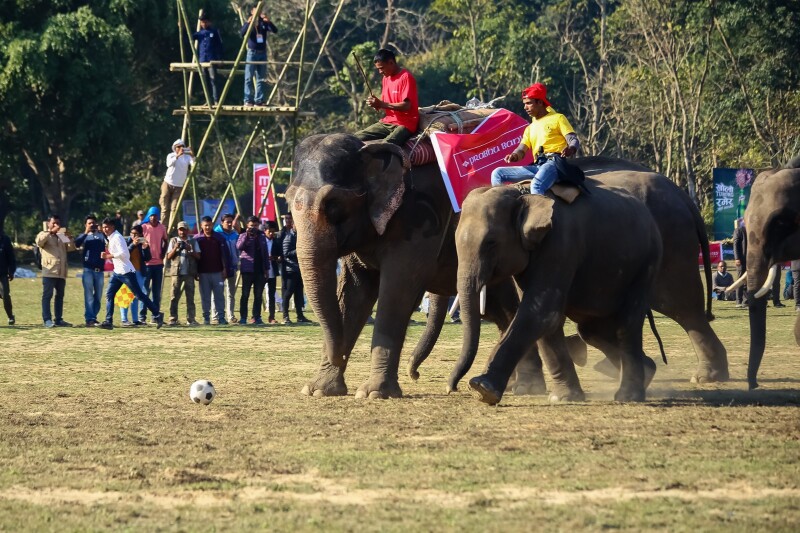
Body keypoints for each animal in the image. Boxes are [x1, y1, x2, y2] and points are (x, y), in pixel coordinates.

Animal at [285, 133, 537, 399]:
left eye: (333, 202)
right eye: (288, 201)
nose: (414, 375)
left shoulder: (419, 220)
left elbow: (397, 290)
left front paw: (374, 393)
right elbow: (354, 291)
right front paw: (318, 390)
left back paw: (521, 386)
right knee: (503, 310)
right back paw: (512, 385)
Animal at [459, 184, 663, 404]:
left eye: (491, 242)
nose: (453, 387)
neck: (524, 194)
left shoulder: (560, 244)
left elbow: (541, 311)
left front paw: (481, 388)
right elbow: (546, 317)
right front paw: (564, 398)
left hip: (646, 264)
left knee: (627, 323)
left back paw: (628, 396)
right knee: (592, 330)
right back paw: (649, 371)